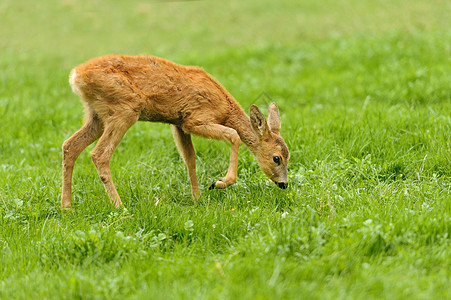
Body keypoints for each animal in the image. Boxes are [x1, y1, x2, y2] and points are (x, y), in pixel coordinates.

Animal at [61, 54, 290, 209]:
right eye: (276, 158)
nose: (284, 184)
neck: (224, 108)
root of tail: (75, 76)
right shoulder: (194, 119)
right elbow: (234, 135)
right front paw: (218, 183)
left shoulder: (178, 123)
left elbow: (190, 158)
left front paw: (197, 198)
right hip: (124, 109)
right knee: (99, 154)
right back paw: (120, 206)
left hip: (96, 115)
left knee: (70, 146)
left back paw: (67, 206)